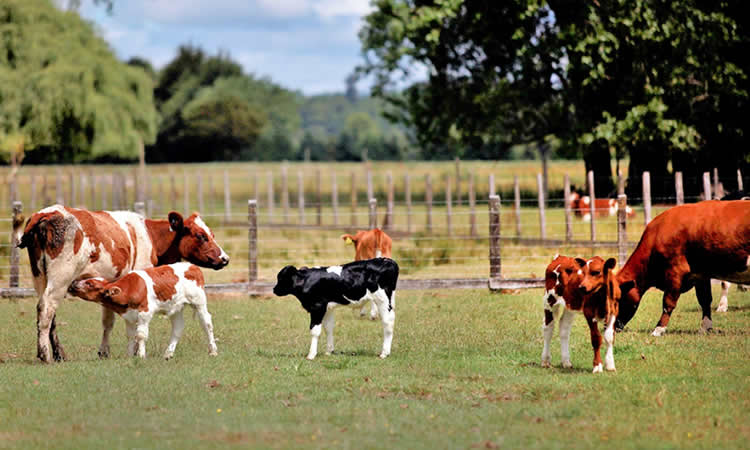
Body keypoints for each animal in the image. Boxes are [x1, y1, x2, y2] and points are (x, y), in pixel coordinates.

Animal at [68, 262, 217, 360]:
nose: (73, 283)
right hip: (176, 308)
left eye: (90, 284)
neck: (130, 289)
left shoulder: (145, 313)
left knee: (207, 324)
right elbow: (130, 335)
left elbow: (140, 335)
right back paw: (168, 353)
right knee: (178, 328)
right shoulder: (128, 316)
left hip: (199, 301)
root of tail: (192, 266)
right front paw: (129, 355)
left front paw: (141, 355)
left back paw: (213, 351)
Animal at [272, 258, 400, 360]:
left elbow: (315, 330)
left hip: (382, 300)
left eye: (281, 278)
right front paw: (329, 351)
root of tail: (387, 260)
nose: (274, 289)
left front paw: (311, 355)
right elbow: (328, 328)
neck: (306, 281)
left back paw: (384, 353)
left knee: (388, 322)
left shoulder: (317, 307)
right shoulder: (328, 307)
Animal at [616, 200, 750, 334]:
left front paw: (658, 329)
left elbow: (668, 302)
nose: (613, 327)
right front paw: (704, 328)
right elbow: (705, 300)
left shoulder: (675, 271)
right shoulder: (700, 274)